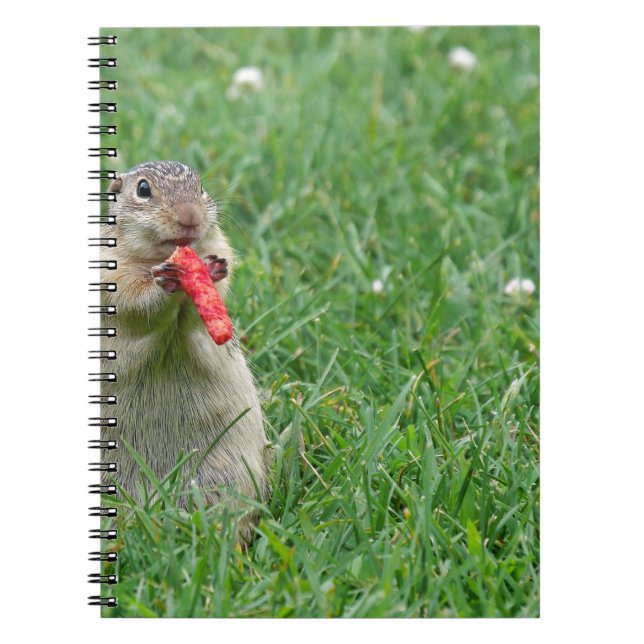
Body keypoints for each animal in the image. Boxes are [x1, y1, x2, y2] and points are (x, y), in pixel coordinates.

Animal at [100, 161, 272, 540]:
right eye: (143, 189)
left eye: (201, 187)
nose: (190, 216)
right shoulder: (113, 275)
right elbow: (137, 302)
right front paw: (164, 283)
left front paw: (212, 269)